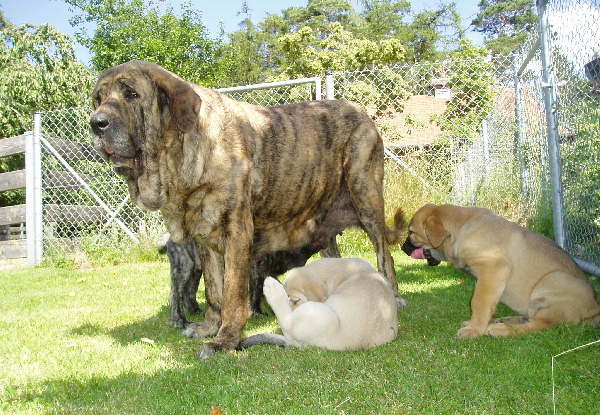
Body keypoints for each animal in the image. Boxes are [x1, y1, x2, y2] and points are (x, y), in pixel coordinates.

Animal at [400, 204, 600, 338]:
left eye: (411, 232)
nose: (402, 248)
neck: (461, 228)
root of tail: (594, 310)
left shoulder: (493, 267)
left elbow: (478, 302)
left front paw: (474, 329)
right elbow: (485, 304)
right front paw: (476, 324)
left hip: (553, 282)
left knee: (538, 325)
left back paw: (500, 329)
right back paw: (504, 320)